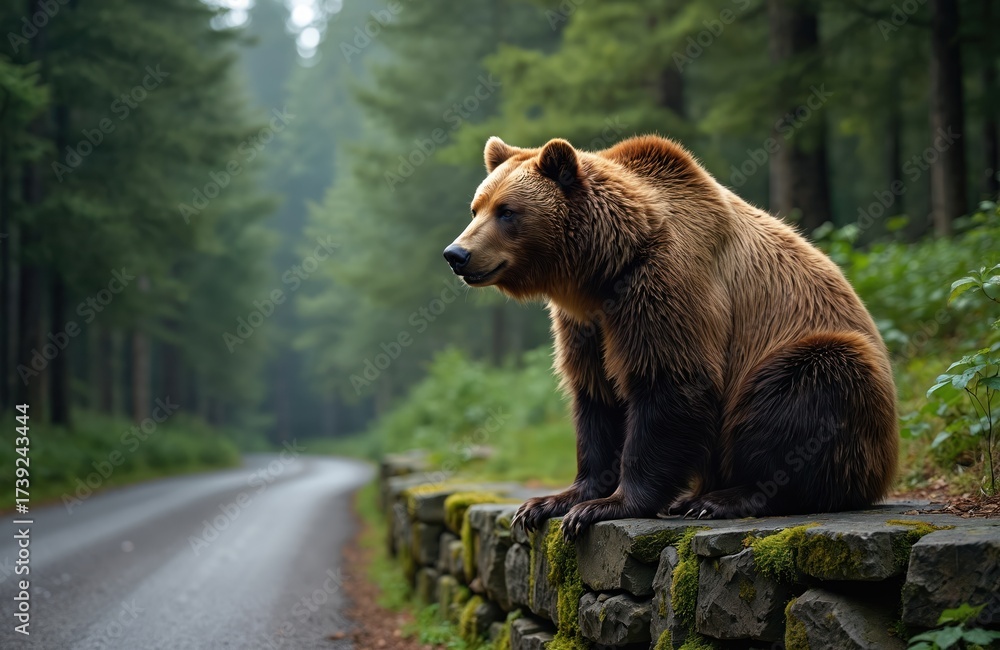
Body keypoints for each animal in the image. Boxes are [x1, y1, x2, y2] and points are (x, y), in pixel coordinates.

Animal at [442, 134, 898, 540]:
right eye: (476, 208)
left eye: (507, 211)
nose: (456, 254)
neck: (602, 270)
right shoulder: (586, 324)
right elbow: (596, 397)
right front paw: (550, 502)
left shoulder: (664, 283)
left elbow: (669, 382)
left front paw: (606, 505)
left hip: (815, 355)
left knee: (806, 389)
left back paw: (718, 498)